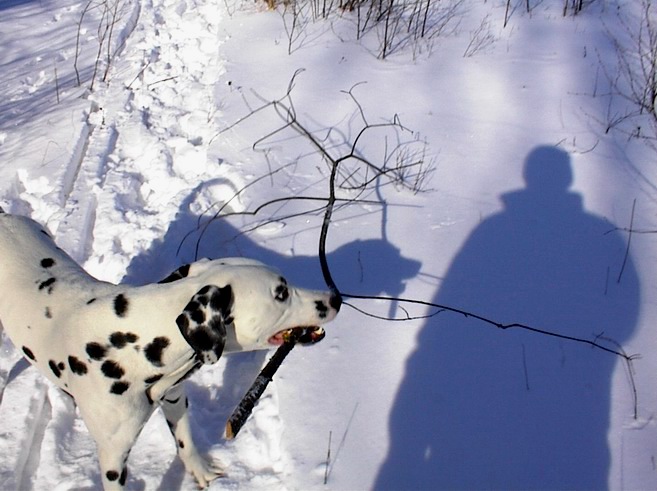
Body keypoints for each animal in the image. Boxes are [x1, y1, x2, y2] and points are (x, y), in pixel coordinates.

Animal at [0, 209, 340, 490]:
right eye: (281, 293)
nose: (335, 298)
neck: (131, 346)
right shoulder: (112, 459)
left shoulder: (175, 398)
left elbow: (186, 442)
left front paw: (201, 472)